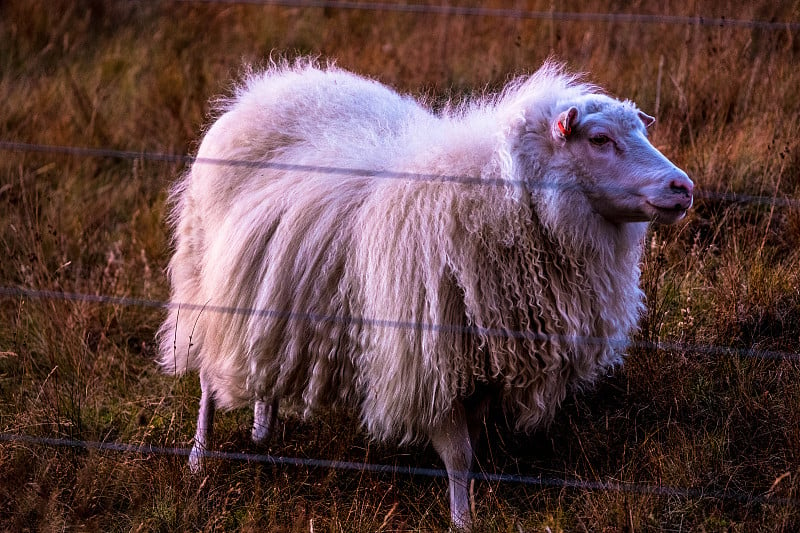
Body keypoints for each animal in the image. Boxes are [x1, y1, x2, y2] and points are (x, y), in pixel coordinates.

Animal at [158, 59, 692, 528]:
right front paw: (462, 521)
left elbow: (472, 445)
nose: (683, 187)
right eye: (600, 140)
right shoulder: (431, 360)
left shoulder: (484, 362)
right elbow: (457, 454)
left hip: (268, 294)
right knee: (206, 377)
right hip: (204, 280)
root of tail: (258, 92)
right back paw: (199, 458)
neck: (507, 199)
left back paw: (261, 432)